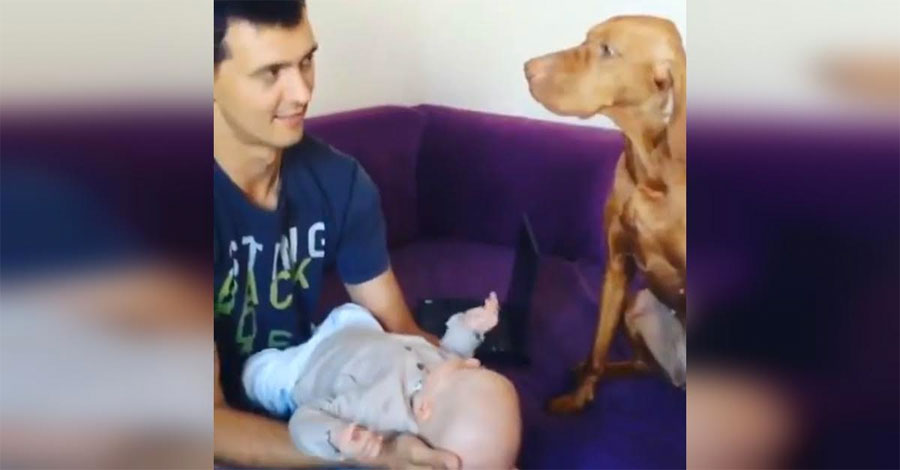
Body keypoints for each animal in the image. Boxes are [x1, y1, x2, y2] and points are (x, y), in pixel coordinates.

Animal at [524, 15, 686, 413]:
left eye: (608, 50)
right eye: (587, 39)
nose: (527, 69)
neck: (650, 173)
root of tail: (678, 378)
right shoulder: (617, 267)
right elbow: (598, 347)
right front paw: (579, 397)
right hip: (638, 302)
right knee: (642, 364)